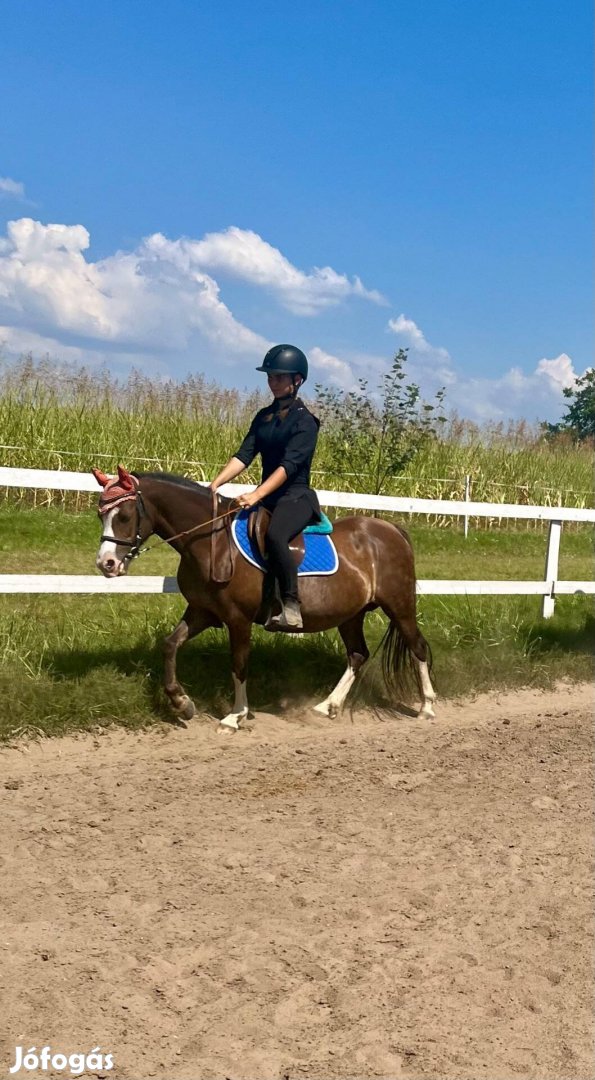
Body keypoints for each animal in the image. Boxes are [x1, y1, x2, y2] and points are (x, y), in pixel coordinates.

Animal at [94, 462, 438, 725]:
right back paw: (327, 706)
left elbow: (239, 664)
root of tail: (391, 530)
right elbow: (170, 645)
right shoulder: (202, 611)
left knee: (418, 647)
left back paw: (426, 707)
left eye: (124, 516)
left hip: (399, 605)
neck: (212, 542)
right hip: (350, 614)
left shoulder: (238, 619)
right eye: (101, 515)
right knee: (357, 654)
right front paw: (182, 703)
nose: (106, 563)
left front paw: (235, 716)